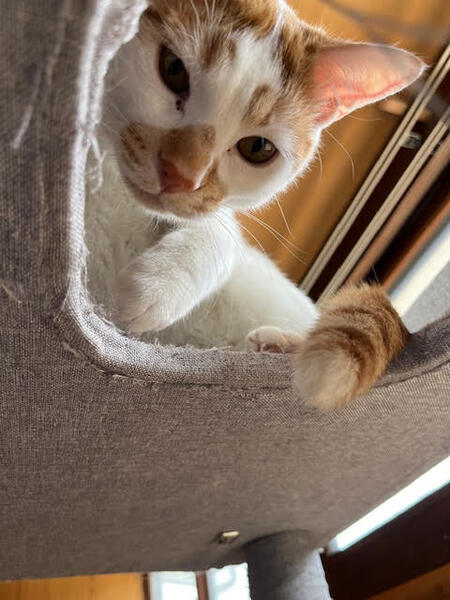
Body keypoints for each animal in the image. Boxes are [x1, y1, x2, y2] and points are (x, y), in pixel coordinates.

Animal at [85, 0, 422, 409]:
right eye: (173, 69)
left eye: (257, 148)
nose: (182, 176)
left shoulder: (214, 217)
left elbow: (222, 234)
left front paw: (152, 289)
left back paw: (280, 345)